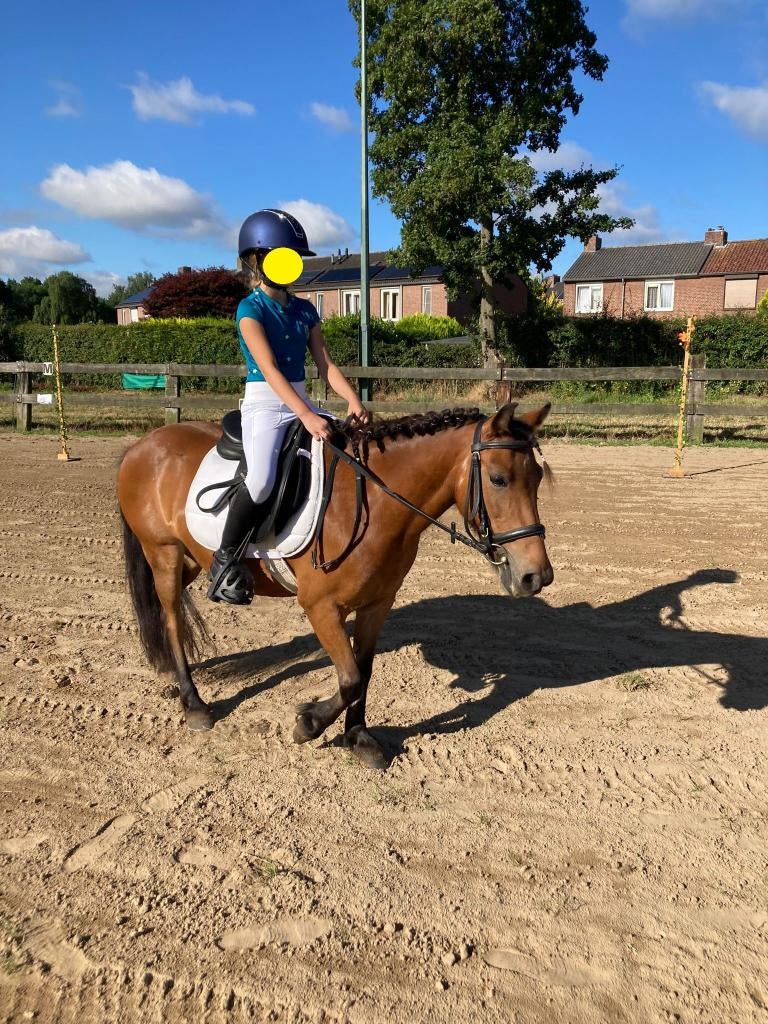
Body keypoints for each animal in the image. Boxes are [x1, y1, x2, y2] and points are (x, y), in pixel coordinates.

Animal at [117, 402, 553, 769]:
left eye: (537, 479)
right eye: (498, 479)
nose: (537, 576)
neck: (374, 503)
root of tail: (143, 444)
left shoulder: (378, 603)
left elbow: (364, 671)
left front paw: (358, 737)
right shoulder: (321, 607)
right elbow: (350, 678)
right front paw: (308, 723)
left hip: (191, 558)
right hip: (164, 554)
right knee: (171, 617)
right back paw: (193, 702)